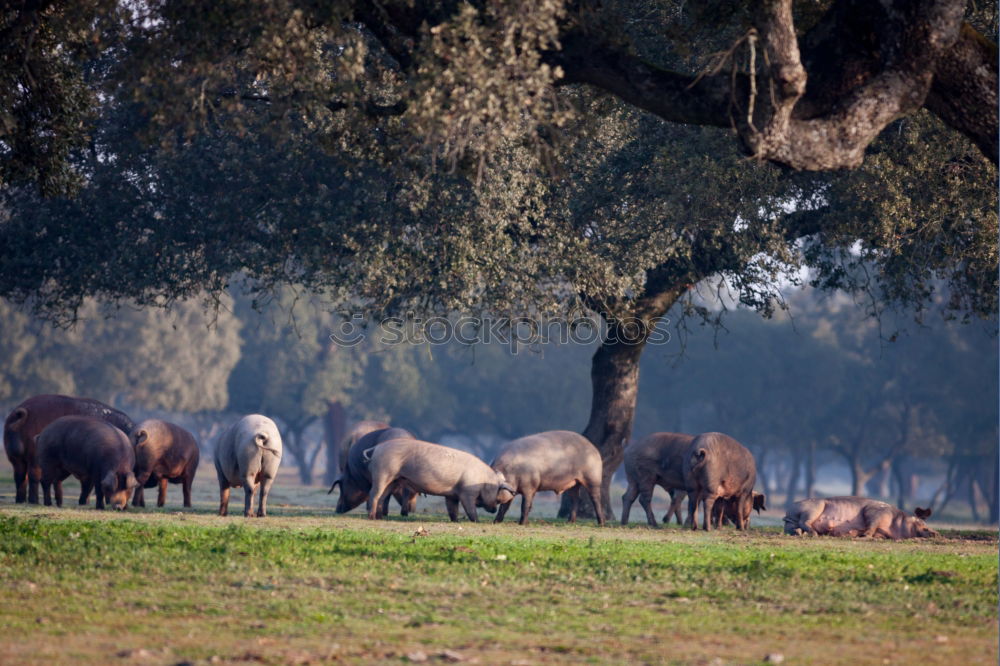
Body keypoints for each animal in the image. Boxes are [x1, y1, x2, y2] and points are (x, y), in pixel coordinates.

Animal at [3, 392, 135, 500]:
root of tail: (23, 413)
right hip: (34, 456)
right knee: (34, 476)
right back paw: (34, 501)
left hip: (13, 457)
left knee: (20, 476)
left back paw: (20, 500)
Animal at [368, 438, 516, 520]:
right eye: (498, 499)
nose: (494, 510)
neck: (483, 479)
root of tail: (378, 447)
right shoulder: (467, 493)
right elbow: (470, 509)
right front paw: (476, 521)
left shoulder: (451, 495)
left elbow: (453, 510)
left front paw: (456, 521)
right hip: (382, 473)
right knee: (374, 494)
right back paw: (372, 517)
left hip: (394, 480)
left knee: (383, 497)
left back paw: (379, 518)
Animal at [784, 492, 940, 540]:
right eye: (923, 525)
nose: (936, 533)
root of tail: (788, 510)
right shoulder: (874, 511)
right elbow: (871, 524)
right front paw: (865, 535)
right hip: (815, 507)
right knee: (805, 521)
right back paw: (814, 534)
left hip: (792, 522)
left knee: (795, 527)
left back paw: (800, 533)